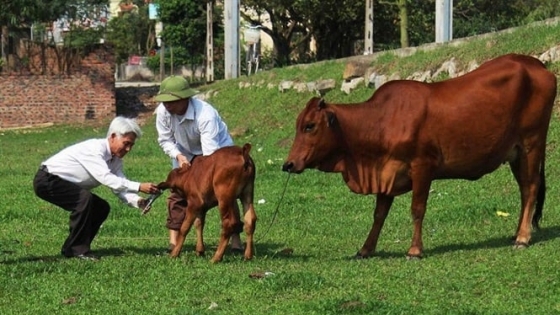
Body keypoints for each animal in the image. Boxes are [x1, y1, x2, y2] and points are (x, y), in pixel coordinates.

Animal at [282, 54, 556, 260]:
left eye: (309, 126)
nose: (288, 164)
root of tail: (536, 64)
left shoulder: (423, 166)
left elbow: (417, 209)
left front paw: (414, 250)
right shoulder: (386, 173)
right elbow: (379, 214)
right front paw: (366, 249)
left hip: (532, 143)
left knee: (531, 187)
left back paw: (523, 237)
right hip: (515, 153)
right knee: (524, 189)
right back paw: (518, 232)